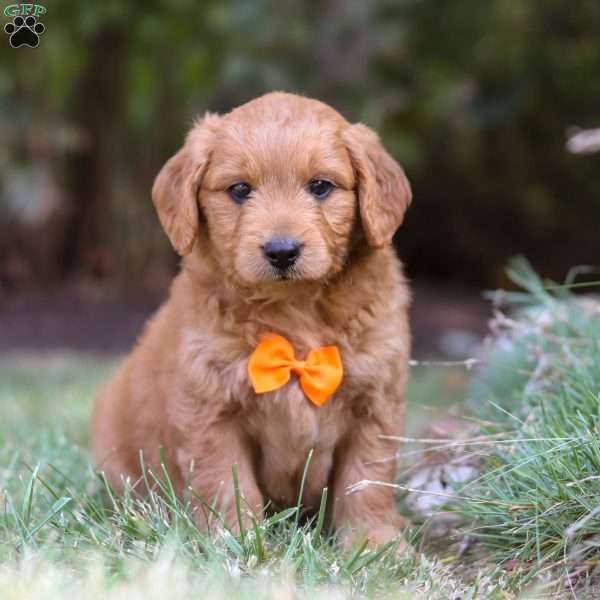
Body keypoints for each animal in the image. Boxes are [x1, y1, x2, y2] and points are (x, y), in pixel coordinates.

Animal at [92, 90, 412, 548]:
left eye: (320, 186)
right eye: (240, 190)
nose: (281, 251)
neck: (294, 312)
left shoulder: (376, 404)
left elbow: (367, 480)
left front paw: (375, 544)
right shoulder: (209, 410)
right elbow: (226, 482)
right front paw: (235, 541)